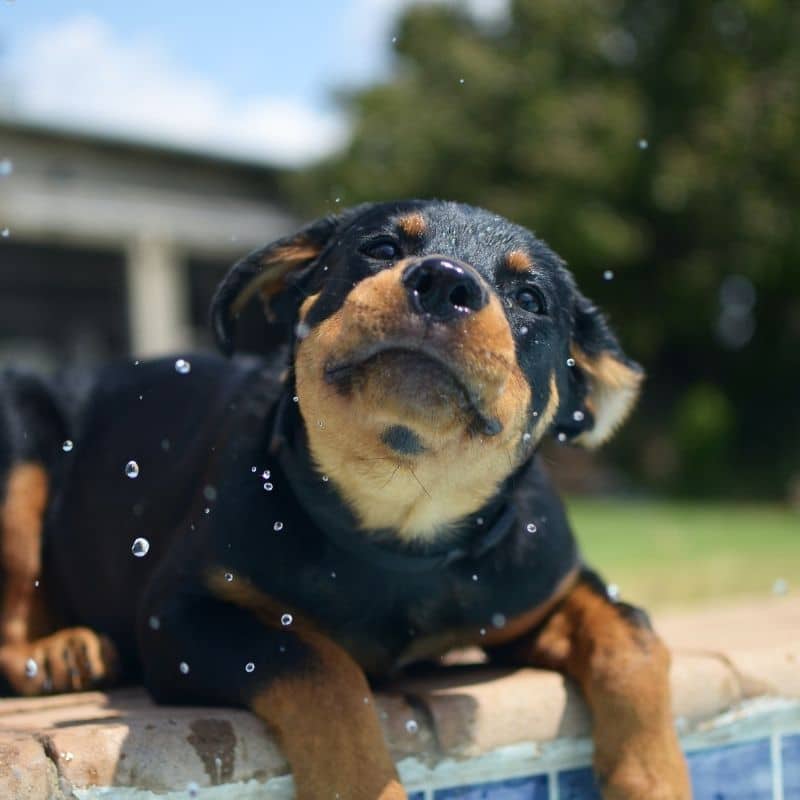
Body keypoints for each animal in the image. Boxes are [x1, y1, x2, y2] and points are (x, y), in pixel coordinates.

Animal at [0, 202, 688, 800]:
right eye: (379, 249)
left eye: (530, 299)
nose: (444, 281)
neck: (398, 521)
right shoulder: (181, 615)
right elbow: (324, 668)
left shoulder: (541, 587)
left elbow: (634, 636)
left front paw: (654, 778)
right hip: (20, 453)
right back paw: (55, 653)